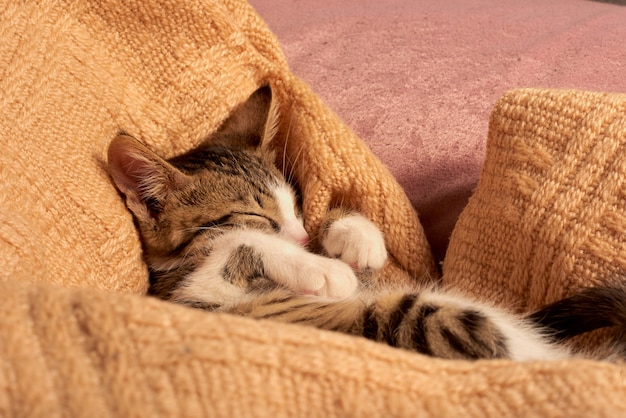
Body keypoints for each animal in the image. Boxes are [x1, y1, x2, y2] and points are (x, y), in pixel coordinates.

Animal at [108, 85, 624, 362]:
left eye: (295, 206)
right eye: (258, 214)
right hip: (428, 323)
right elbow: (236, 244)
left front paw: (354, 238)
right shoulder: (190, 303)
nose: (301, 236)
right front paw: (322, 269)